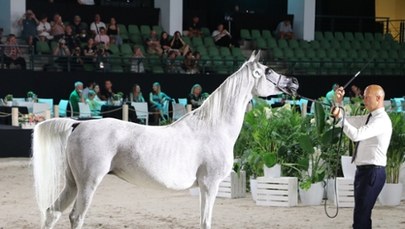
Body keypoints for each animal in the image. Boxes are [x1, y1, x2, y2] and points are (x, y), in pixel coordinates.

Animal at [32, 50, 296, 229]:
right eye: (268, 71)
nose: (294, 82)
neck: (213, 127)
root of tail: (79, 124)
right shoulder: (209, 185)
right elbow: (205, 222)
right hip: (88, 183)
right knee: (75, 216)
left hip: (72, 183)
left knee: (52, 211)